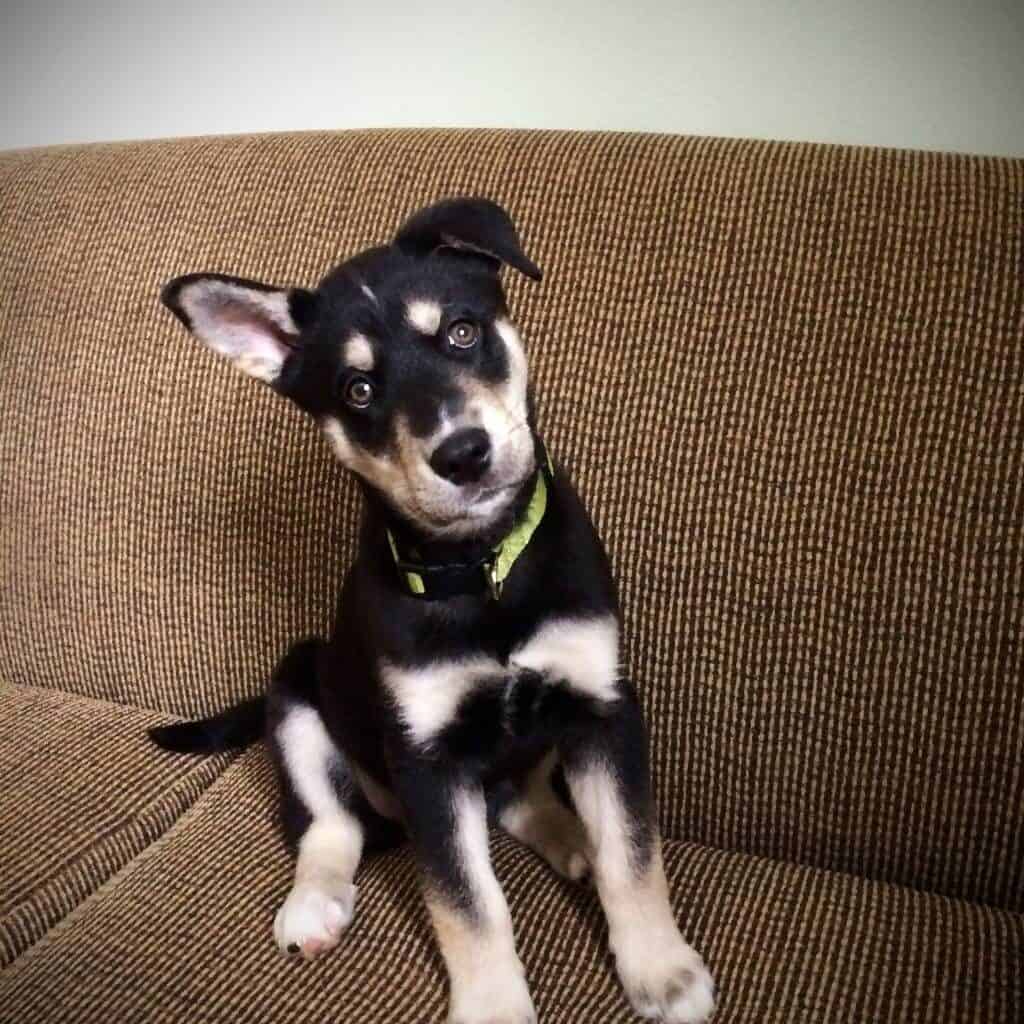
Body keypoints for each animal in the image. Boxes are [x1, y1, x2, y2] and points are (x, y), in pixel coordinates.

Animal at [151, 197, 716, 1024]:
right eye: (357, 389)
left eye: (461, 332)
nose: (463, 454)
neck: (479, 570)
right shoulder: (426, 760)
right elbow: (466, 900)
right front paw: (492, 1007)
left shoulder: (602, 705)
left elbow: (632, 851)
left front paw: (661, 968)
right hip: (299, 696)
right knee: (330, 828)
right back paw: (314, 906)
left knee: (519, 798)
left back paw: (569, 834)